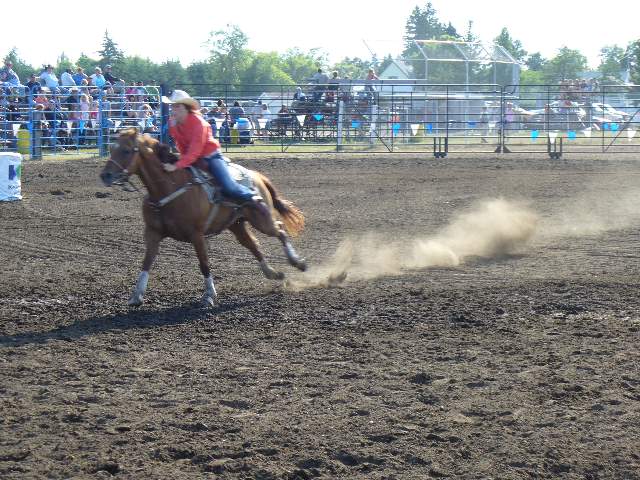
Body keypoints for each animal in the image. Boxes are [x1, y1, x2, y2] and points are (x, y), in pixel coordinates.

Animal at [100, 128, 308, 308]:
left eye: (127, 150)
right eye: (111, 149)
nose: (105, 175)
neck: (168, 187)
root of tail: (257, 176)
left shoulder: (197, 235)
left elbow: (204, 264)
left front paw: (209, 295)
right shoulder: (152, 233)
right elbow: (146, 262)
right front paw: (136, 295)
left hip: (262, 221)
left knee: (280, 229)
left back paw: (297, 262)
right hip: (236, 224)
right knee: (253, 245)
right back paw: (272, 273)